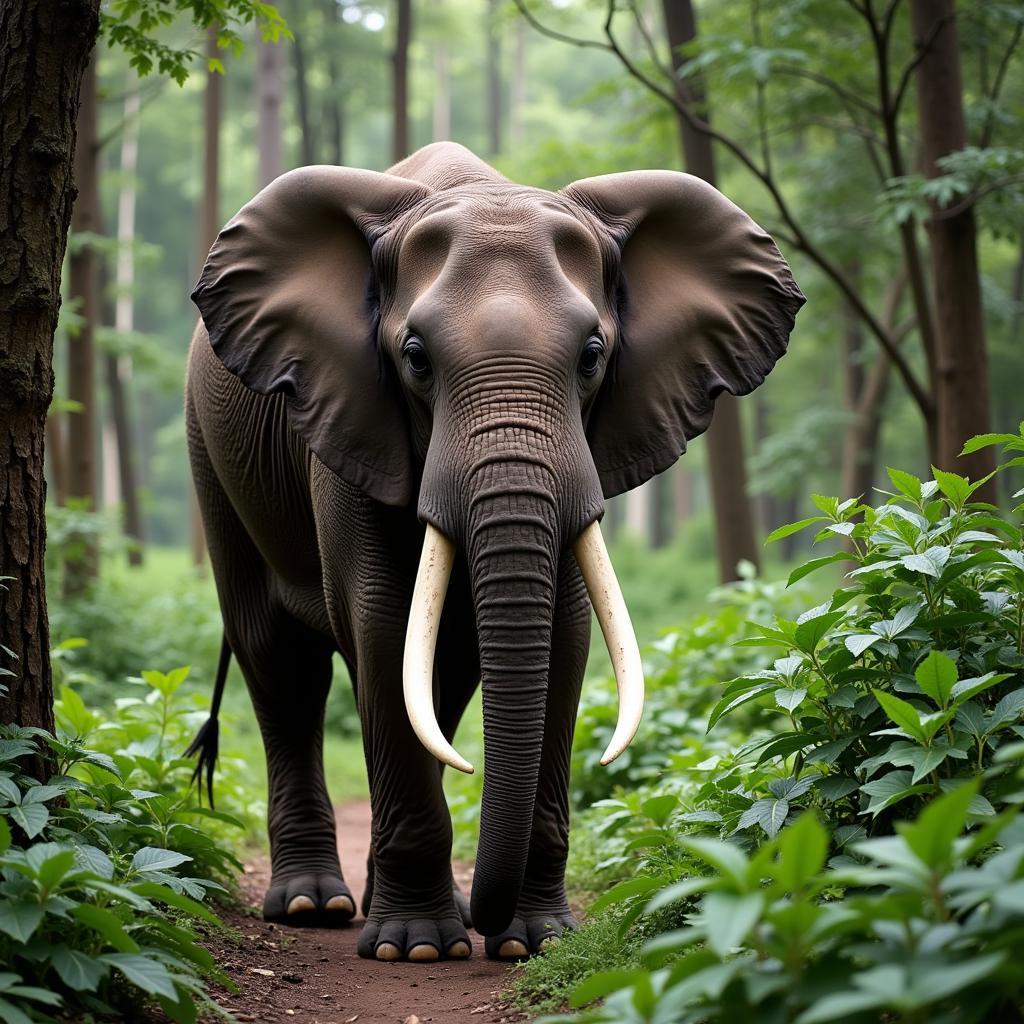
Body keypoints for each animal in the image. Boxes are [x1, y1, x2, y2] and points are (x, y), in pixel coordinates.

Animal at [186, 140, 806, 962]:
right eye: (415, 358)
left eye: (592, 355)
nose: (489, 921)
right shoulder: (350, 418)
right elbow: (380, 622)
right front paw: (415, 946)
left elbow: (565, 636)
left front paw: (532, 942)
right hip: (209, 452)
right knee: (280, 659)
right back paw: (315, 907)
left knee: (438, 687)